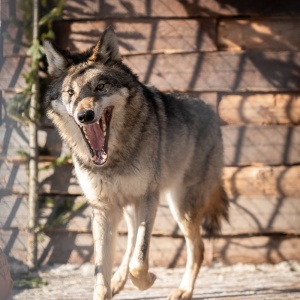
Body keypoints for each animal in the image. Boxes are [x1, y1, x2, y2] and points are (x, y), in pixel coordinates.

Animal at [44, 27, 227, 298]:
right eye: (71, 94)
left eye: (100, 86)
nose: (84, 115)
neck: (112, 159)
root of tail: (211, 111)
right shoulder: (103, 207)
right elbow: (101, 270)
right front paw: (112, 285)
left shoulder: (148, 197)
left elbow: (139, 262)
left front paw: (148, 279)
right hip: (132, 207)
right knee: (131, 238)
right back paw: (119, 280)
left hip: (181, 207)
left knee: (198, 248)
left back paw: (183, 290)